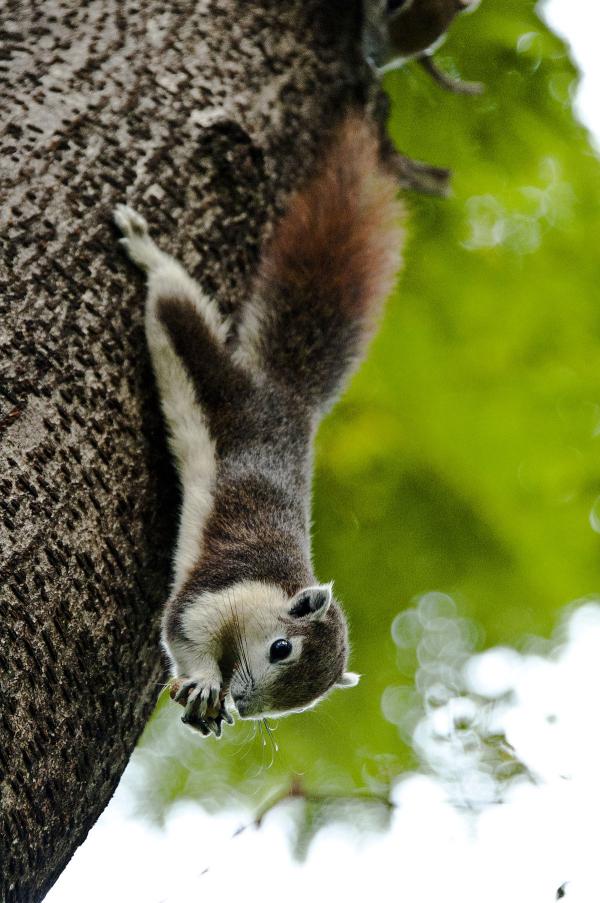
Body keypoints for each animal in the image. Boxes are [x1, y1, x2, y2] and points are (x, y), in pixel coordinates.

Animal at [113, 113, 404, 736]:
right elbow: (184, 631)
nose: (245, 704)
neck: (274, 586)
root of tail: (287, 402)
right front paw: (204, 680)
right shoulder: (215, 591)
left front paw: (213, 703)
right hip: (219, 383)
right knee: (174, 304)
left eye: (304, 703)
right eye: (281, 649)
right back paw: (147, 250)